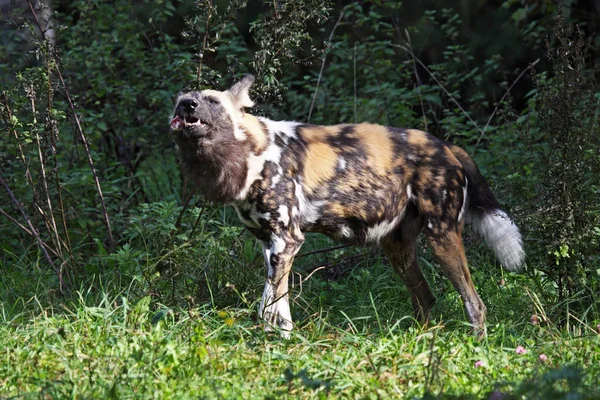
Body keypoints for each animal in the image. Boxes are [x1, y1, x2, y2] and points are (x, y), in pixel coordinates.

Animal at [170, 75, 524, 338]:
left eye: (212, 101)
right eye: (182, 98)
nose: (187, 104)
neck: (250, 153)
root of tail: (448, 146)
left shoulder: (287, 242)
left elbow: (268, 308)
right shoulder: (271, 245)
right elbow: (278, 307)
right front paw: (281, 341)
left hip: (442, 238)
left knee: (474, 304)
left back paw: (474, 346)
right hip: (397, 248)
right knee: (425, 297)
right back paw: (421, 342)